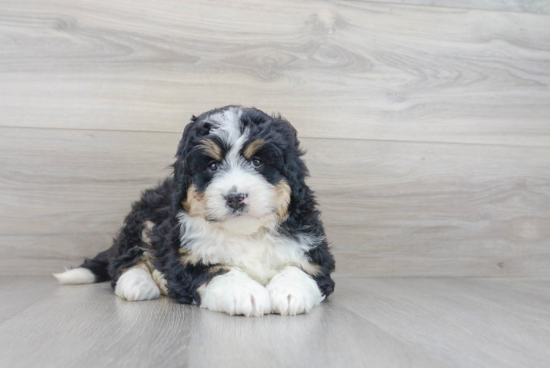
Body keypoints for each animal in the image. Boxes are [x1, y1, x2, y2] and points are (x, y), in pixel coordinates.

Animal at [55, 105, 336, 316]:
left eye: (257, 162)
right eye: (212, 166)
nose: (235, 198)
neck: (245, 232)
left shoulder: (313, 249)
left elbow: (302, 268)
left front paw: (291, 292)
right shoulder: (184, 258)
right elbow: (217, 270)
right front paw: (244, 292)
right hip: (145, 219)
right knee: (126, 257)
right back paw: (137, 282)